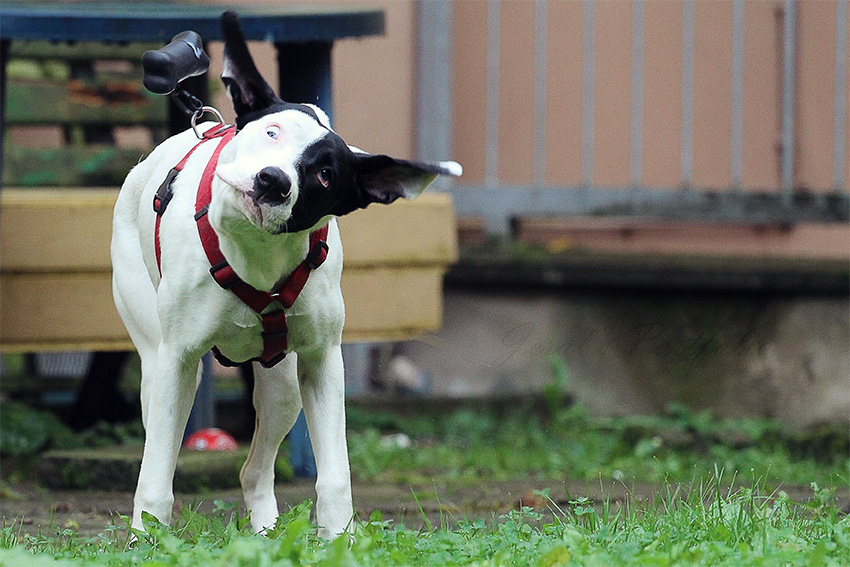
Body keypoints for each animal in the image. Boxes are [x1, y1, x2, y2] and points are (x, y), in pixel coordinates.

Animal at [113, 11, 460, 540]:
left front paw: (340, 538)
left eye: (325, 174)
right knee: (163, 442)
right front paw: (147, 539)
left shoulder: (322, 362)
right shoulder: (178, 359)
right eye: (272, 132)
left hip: (284, 387)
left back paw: (265, 532)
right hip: (155, 364)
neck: (256, 250)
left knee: (254, 468)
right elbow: (156, 472)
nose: (273, 181)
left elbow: (335, 473)